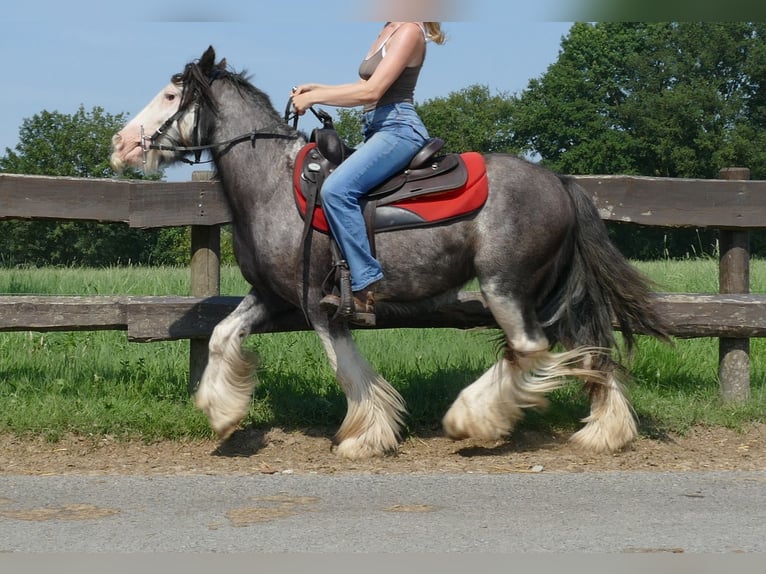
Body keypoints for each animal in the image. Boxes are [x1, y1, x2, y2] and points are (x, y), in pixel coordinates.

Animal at [111, 45, 668, 462]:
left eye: (170, 94)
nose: (120, 144)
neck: (271, 183)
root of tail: (560, 182)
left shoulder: (318, 303)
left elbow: (346, 369)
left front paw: (366, 436)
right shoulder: (272, 294)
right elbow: (222, 334)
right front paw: (222, 411)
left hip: (504, 284)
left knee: (529, 348)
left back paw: (470, 418)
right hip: (552, 291)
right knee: (588, 347)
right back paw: (605, 432)